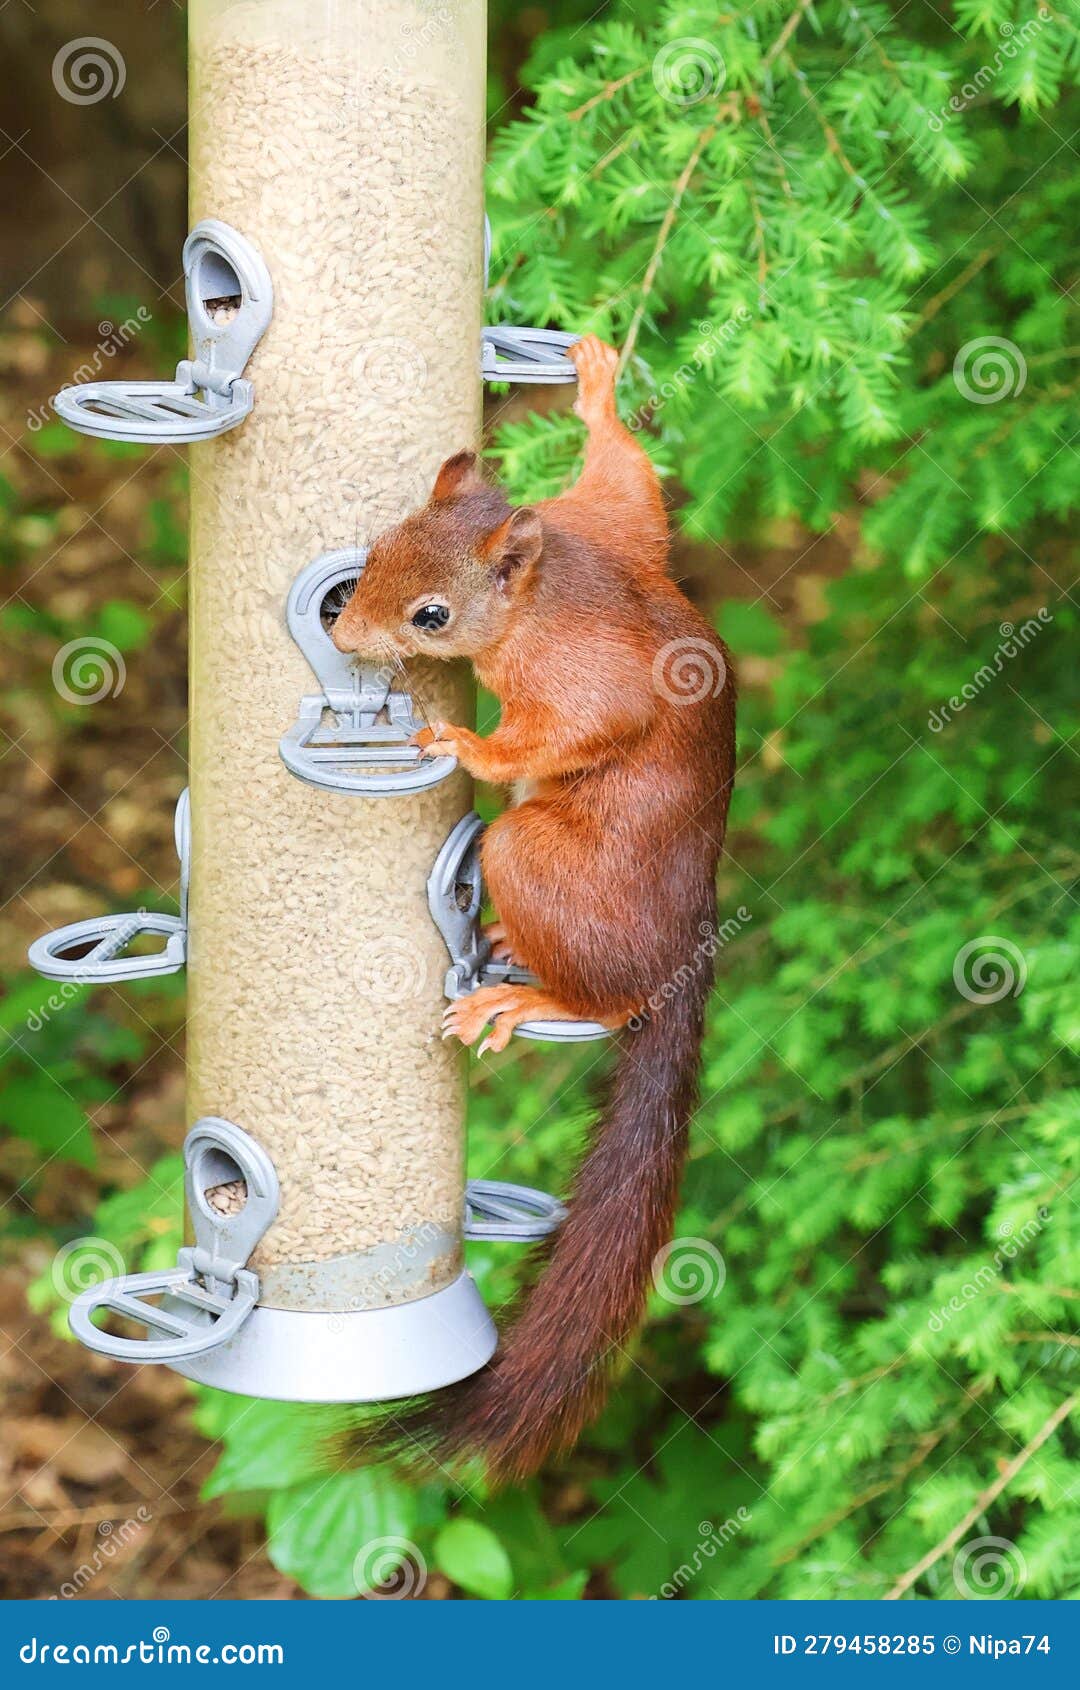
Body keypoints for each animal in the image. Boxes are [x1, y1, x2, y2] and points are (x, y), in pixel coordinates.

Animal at [332, 335, 736, 1485]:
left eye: (432, 615)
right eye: (375, 550)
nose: (345, 628)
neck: (540, 590)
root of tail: (687, 948)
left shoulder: (585, 675)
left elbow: (580, 725)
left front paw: (470, 746)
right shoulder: (608, 528)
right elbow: (630, 487)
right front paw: (597, 390)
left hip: (543, 863)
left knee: (610, 995)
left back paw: (529, 997)